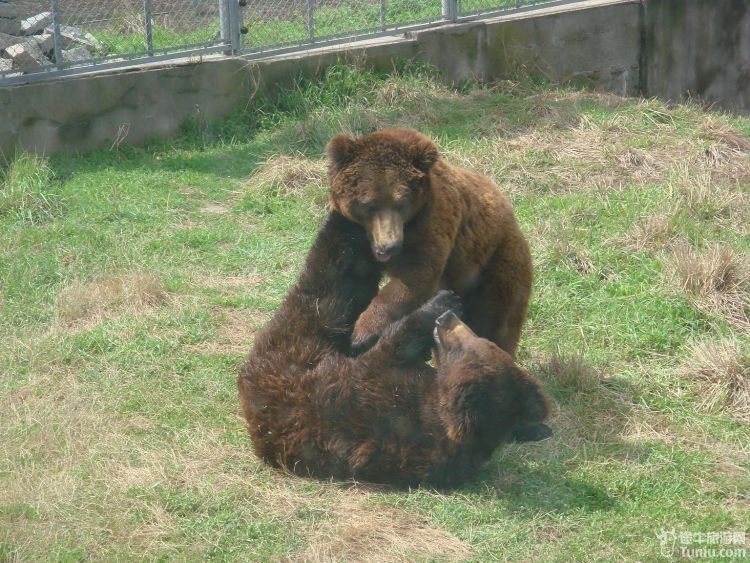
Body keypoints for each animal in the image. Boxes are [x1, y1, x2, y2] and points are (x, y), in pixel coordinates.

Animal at [238, 213, 556, 490]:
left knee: (328, 288)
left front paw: (439, 303)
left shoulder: (378, 394)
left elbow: (392, 346)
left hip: (293, 351)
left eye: (464, 345)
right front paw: (534, 428)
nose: (448, 320)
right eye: (480, 340)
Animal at [328, 126, 536, 356]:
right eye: (368, 204)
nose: (390, 246)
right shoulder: (359, 239)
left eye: (402, 203)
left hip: (496, 263)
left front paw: (361, 333)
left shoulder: (432, 221)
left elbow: (416, 275)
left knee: (495, 320)